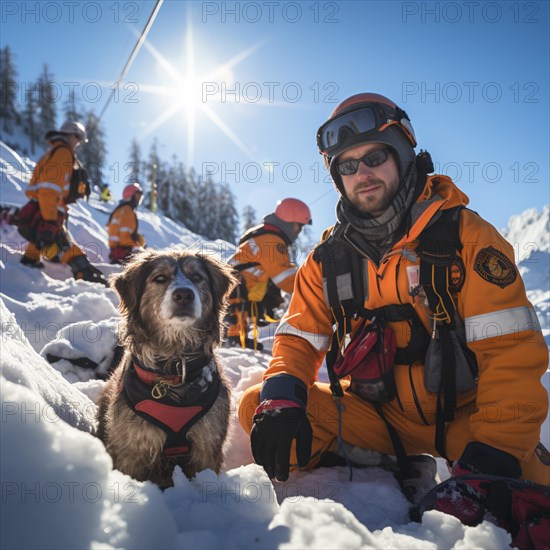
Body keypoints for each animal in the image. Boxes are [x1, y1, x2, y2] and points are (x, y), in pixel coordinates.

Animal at [96, 250, 237, 488]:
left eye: (197, 277)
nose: (184, 295)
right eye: (160, 278)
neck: (174, 369)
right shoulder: (130, 449)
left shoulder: (208, 445)